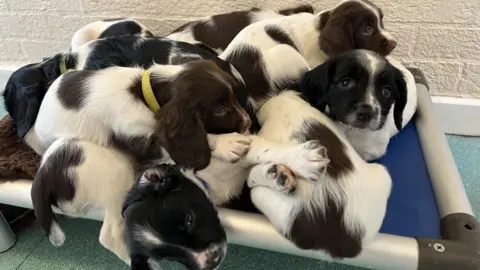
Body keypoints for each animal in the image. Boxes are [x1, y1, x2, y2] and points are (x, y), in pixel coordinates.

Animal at [25, 60, 251, 171]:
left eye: (233, 98)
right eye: (220, 109)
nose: (248, 122)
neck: (143, 93)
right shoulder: (137, 137)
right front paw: (227, 143)